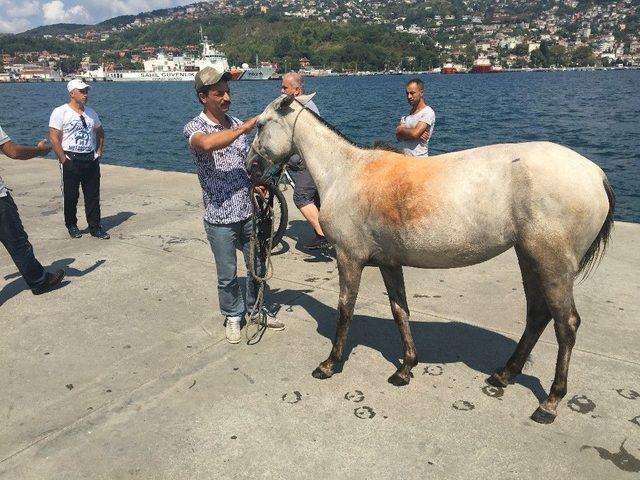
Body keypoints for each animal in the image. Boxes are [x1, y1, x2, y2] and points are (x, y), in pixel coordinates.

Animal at [246, 94, 616, 424]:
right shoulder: (389, 263)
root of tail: (596, 174)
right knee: (538, 315)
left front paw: (330, 364)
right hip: (528, 258)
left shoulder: (349, 258)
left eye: (261, 125)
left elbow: (345, 309)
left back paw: (550, 402)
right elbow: (400, 311)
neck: (346, 172)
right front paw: (405, 367)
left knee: (566, 325)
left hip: (553, 265)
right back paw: (504, 374)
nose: (251, 168)